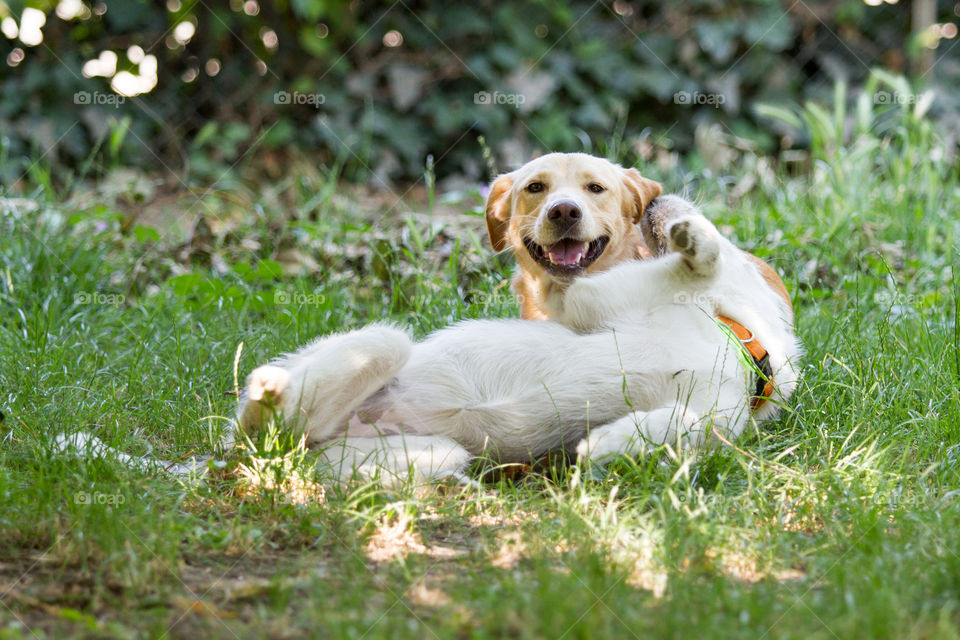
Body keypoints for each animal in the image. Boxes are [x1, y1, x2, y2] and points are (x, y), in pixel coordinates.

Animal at [238, 195, 804, 480]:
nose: (661, 197)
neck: (736, 341)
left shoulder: (712, 420)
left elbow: (669, 426)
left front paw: (603, 444)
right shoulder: (591, 301)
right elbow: (695, 269)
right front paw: (698, 245)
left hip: (420, 451)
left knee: (290, 443)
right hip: (382, 344)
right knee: (259, 410)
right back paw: (267, 386)